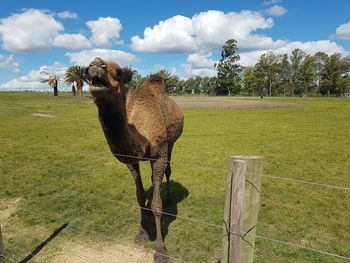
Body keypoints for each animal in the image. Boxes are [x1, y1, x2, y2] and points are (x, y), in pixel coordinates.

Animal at [85, 57, 183, 263]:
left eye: (119, 72)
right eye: (85, 71)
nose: (96, 64)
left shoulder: (159, 154)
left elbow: (156, 204)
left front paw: (160, 250)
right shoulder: (132, 161)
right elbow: (140, 197)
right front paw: (141, 233)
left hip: (171, 143)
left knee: (168, 170)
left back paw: (169, 198)